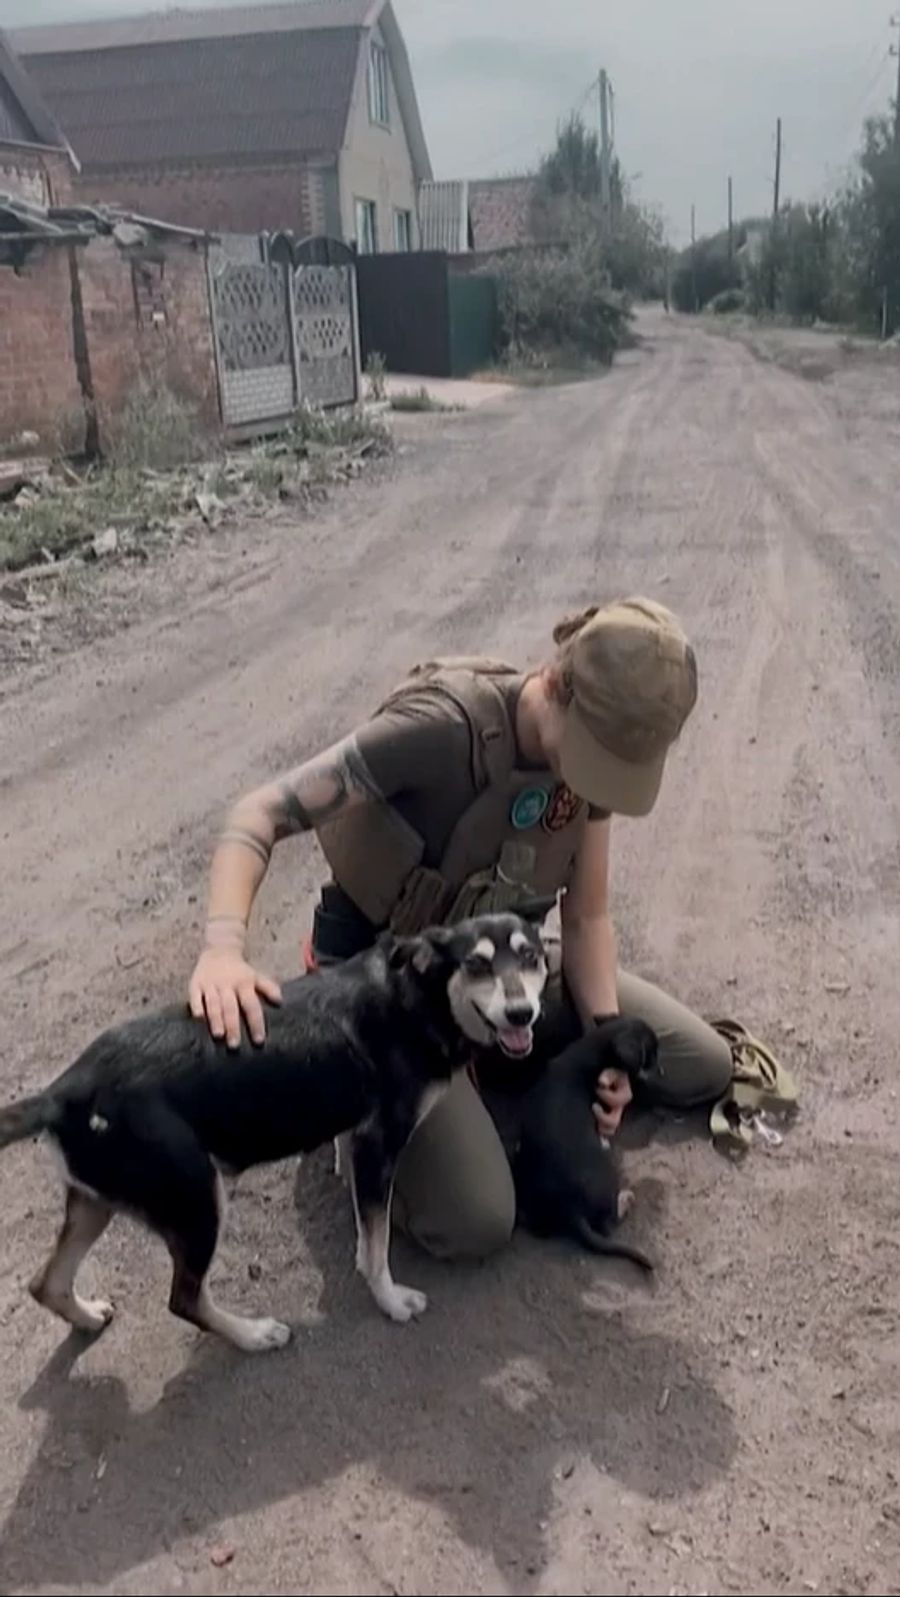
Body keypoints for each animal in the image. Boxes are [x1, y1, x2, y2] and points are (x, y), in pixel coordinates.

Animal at [513, 1022, 660, 1271]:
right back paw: (625, 1199)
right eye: (650, 1054)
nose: (661, 1072)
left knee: (540, 1229)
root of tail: (572, 1207)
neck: (587, 1051)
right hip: (609, 1182)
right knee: (608, 1225)